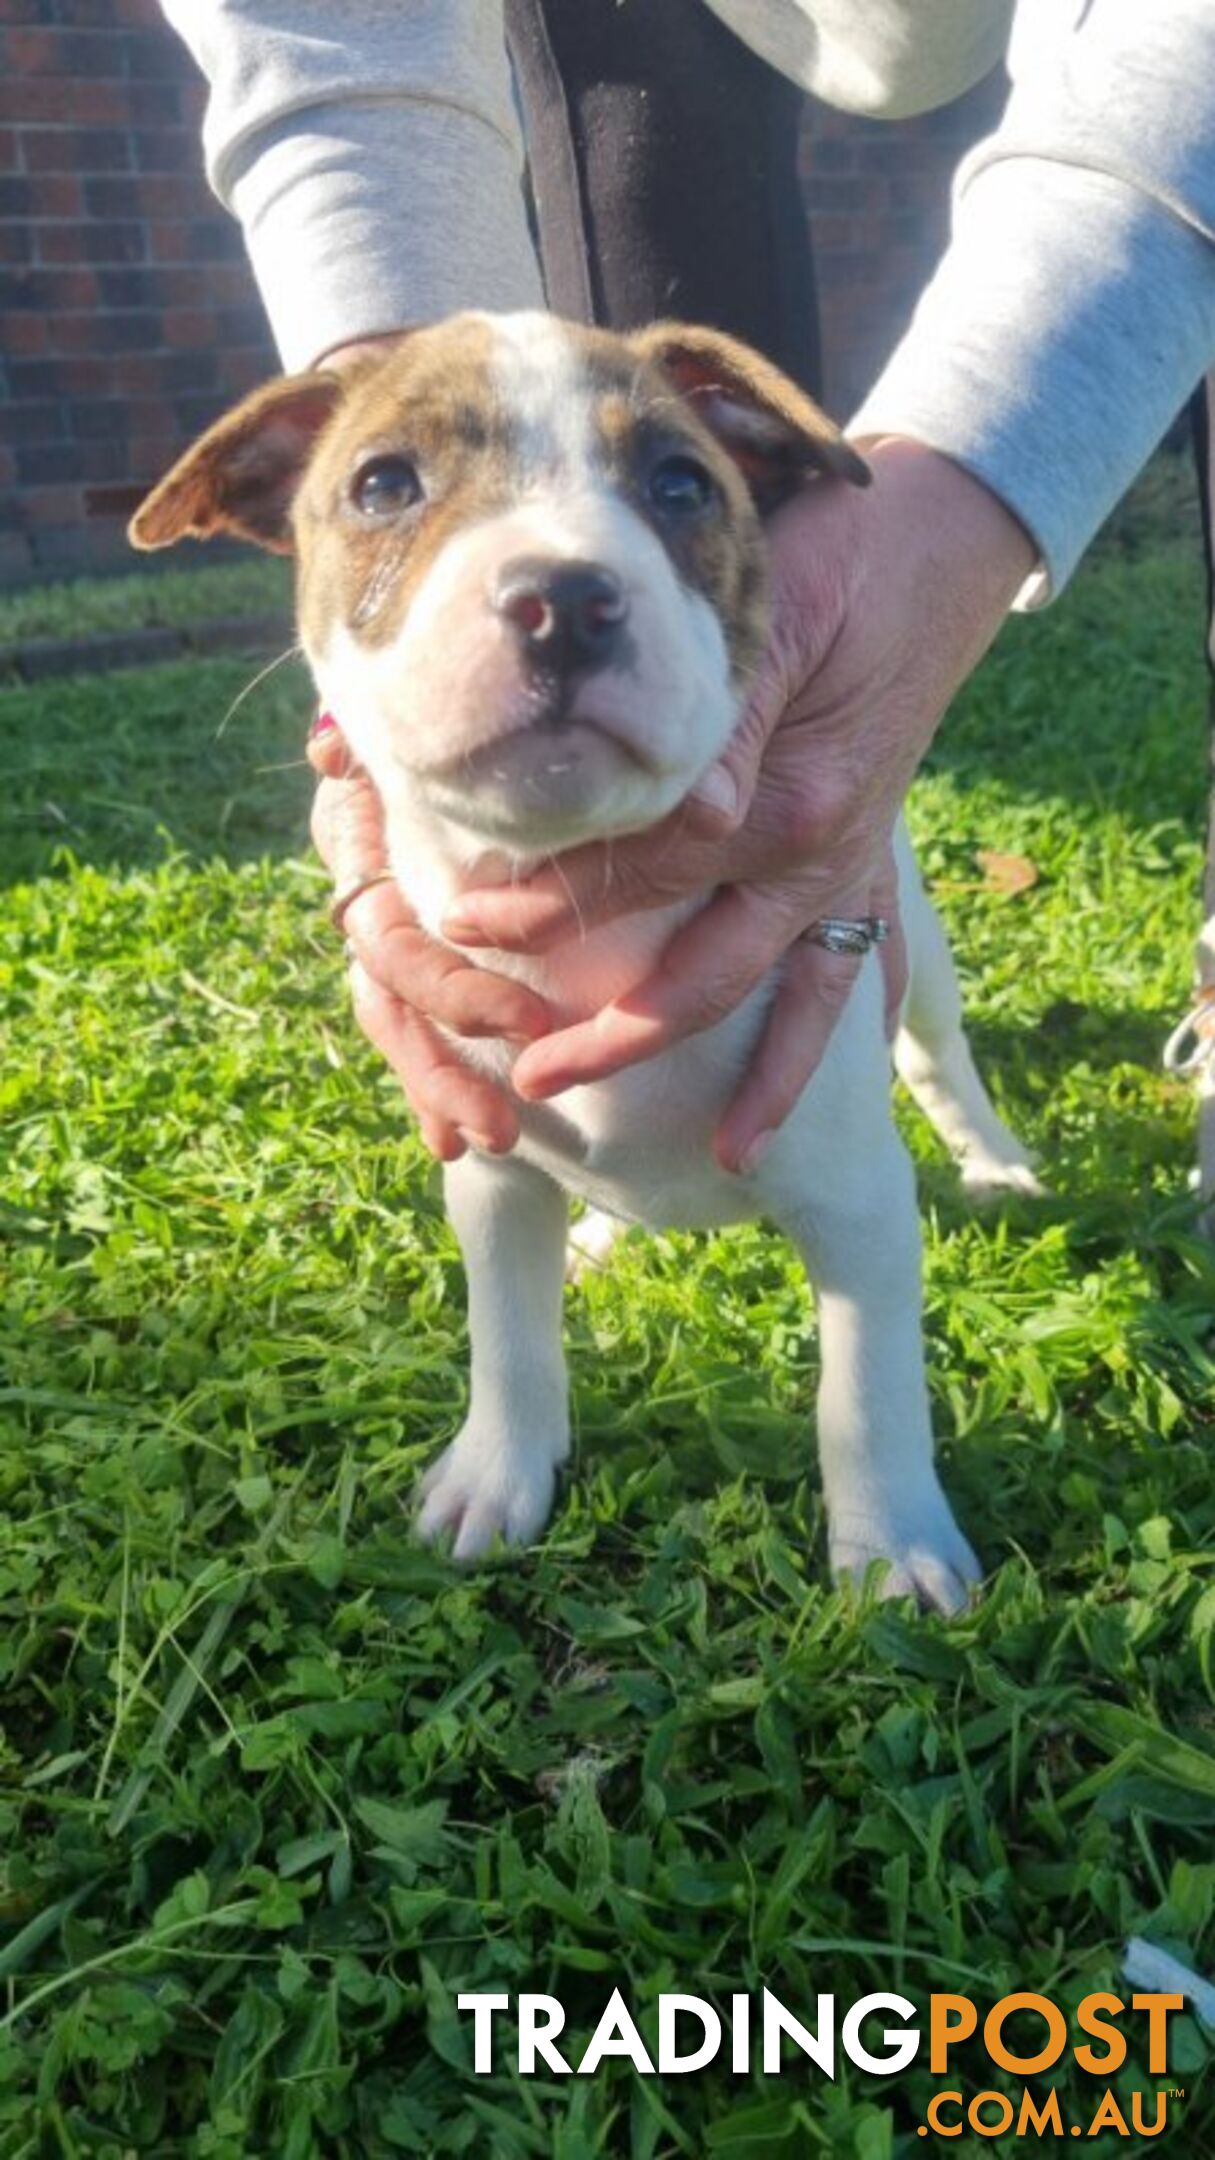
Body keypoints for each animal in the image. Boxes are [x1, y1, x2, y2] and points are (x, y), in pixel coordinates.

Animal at [134, 313, 1042, 1615]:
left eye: (680, 486)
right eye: (384, 485)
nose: (562, 597)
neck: (580, 908)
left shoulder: (857, 1203)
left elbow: (865, 1396)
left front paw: (898, 1553)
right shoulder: (489, 1166)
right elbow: (507, 1338)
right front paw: (495, 1476)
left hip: (913, 951)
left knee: (940, 1057)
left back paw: (995, 1161)